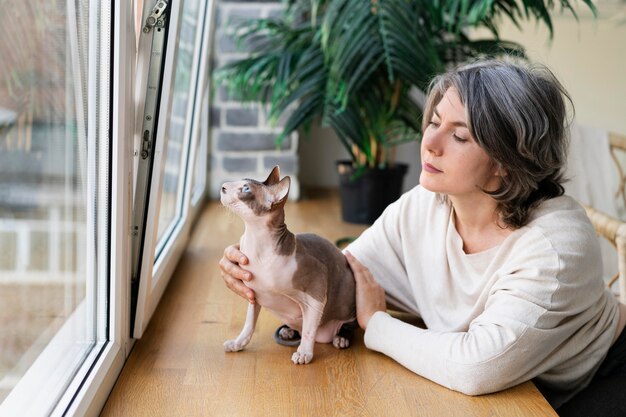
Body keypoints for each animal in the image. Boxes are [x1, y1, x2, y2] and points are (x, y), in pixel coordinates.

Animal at [219, 166, 356, 364]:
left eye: (245, 189)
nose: (222, 186)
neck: (254, 242)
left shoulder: (318, 286)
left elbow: (309, 330)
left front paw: (304, 353)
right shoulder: (253, 295)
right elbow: (249, 324)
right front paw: (238, 343)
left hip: (347, 293)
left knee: (347, 324)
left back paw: (341, 337)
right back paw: (288, 330)